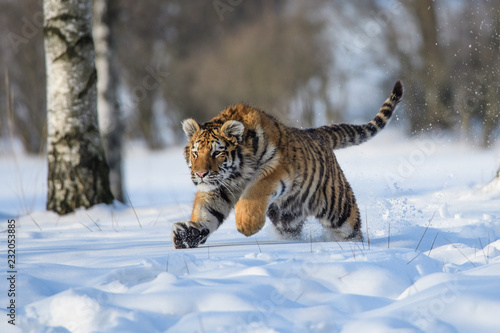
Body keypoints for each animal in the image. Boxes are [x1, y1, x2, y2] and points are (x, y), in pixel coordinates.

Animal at [172, 80, 402, 246]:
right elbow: (206, 212)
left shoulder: (277, 168)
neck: (236, 174)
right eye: (195, 153)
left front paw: (247, 224)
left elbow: (256, 189)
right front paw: (186, 235)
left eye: (217, 152)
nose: (200, 174)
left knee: (351, 230)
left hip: (339, 209)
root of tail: (316, 133)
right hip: (287, 219)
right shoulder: (218, 188)